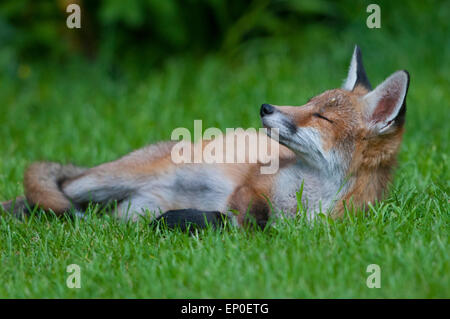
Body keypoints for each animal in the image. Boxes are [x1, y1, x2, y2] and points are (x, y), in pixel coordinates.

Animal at [0, 46, 408, 229]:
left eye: (321, 116)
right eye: (308, 102)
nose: (265, 107)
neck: (308, 194)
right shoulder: (252, 184)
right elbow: (254, 214)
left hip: (127, 211)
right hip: (101, 182)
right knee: (47, 194)